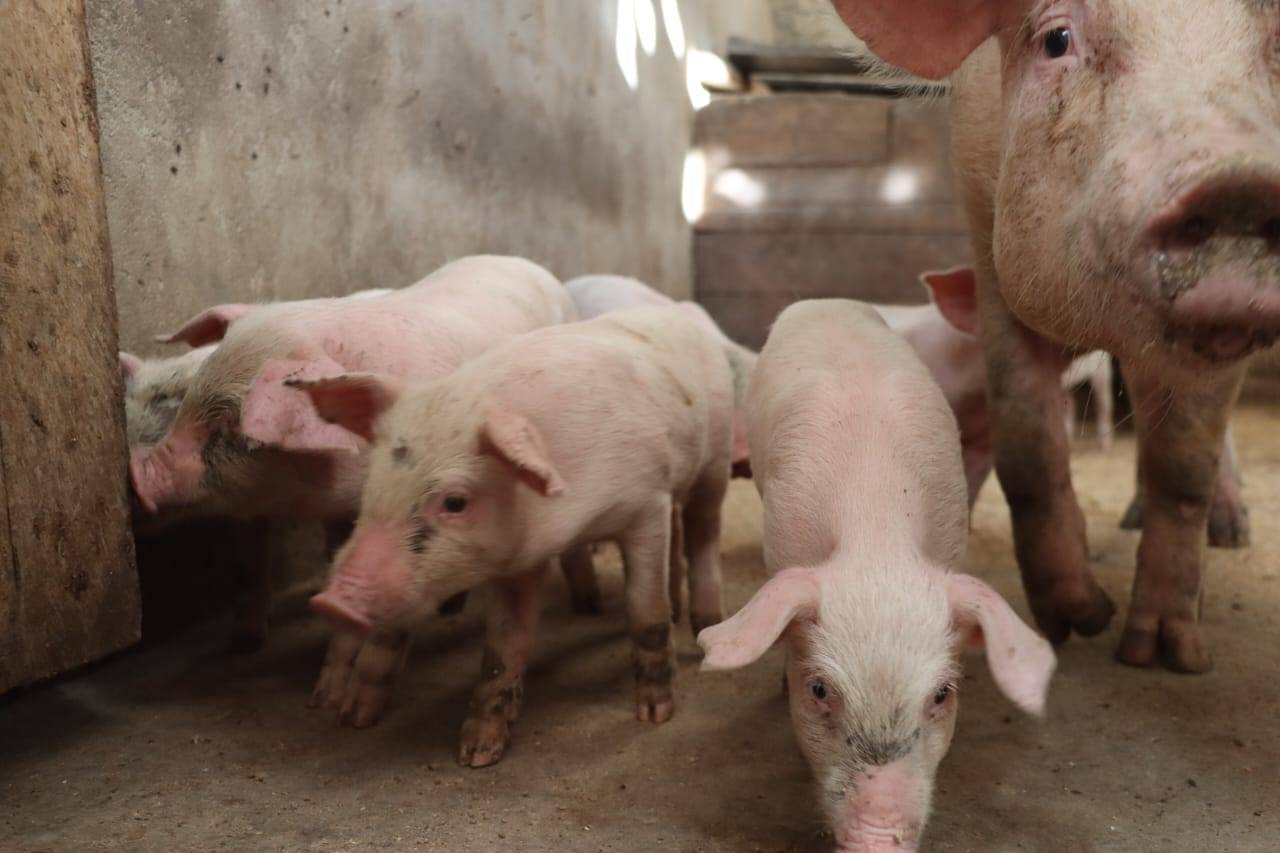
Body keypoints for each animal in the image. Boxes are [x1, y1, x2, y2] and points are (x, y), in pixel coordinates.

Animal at [129, 256, 577, 722]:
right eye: (188, 402)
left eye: (232, 425)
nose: (136, 473)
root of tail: (525, 263)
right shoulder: (338, 515)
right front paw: (316, 697)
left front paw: (353, 715)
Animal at [296, 303, 734, 767]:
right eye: (374, 481)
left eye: (455, 502)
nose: (331, 602)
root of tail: (678, 307)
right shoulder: (518, 560)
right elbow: (503, 648)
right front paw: (476, 754)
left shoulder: (647, 504)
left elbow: (644, 611)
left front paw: (654, 715)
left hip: (716, 458)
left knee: (704, 529)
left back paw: (706, 623)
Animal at [828, 1, 1280, 670]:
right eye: (1057, 39)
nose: (1238, 184)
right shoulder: (988, 249)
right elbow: (1028, 449)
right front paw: (1077, 621)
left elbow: (1184, 466)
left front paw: (1163, 655)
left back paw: (1229, 532)